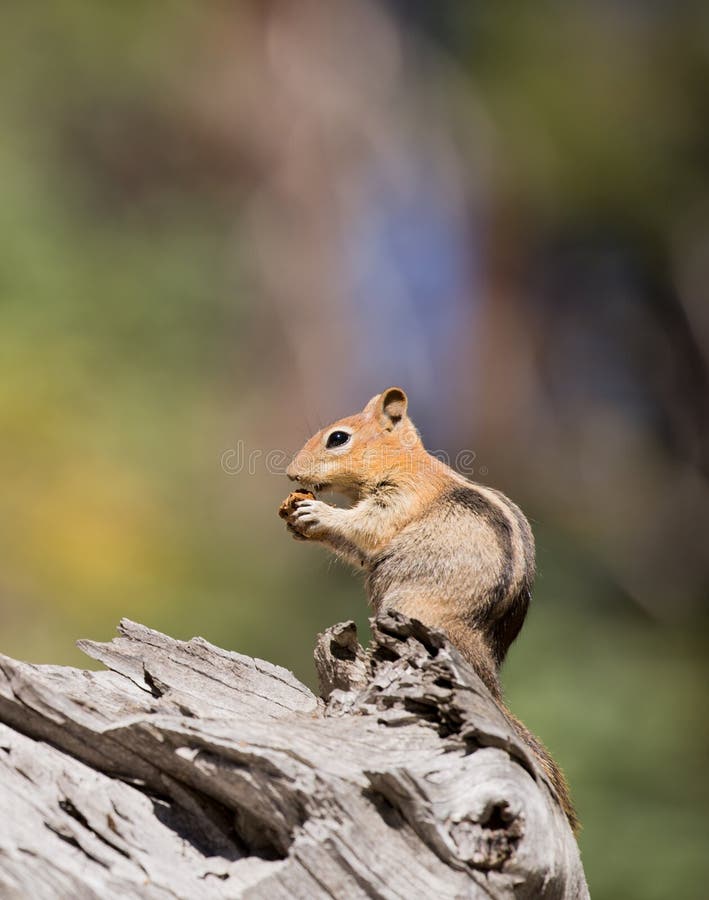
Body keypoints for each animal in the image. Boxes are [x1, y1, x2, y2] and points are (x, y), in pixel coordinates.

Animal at [280, 386, 576, 828]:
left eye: (338, 438)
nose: (291, 474)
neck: (405, 460)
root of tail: (485, 670)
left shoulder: (399, 498)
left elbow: (368, 529)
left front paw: (316, 512)